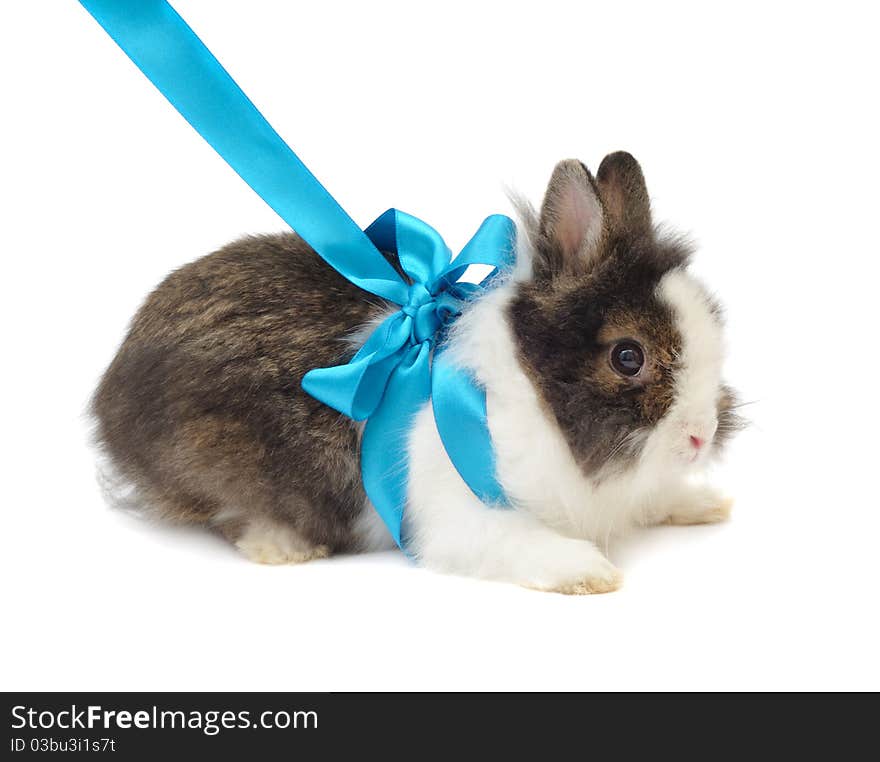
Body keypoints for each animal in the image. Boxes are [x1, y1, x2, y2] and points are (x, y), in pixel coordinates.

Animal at [93, 151, 744, 592]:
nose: (701, 436)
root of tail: (110, 388)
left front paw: (703, 503)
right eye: (628, 356)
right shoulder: (459, 517)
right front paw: (589, 571)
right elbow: (519, 541)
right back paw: (283, 545)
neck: (526, 389)